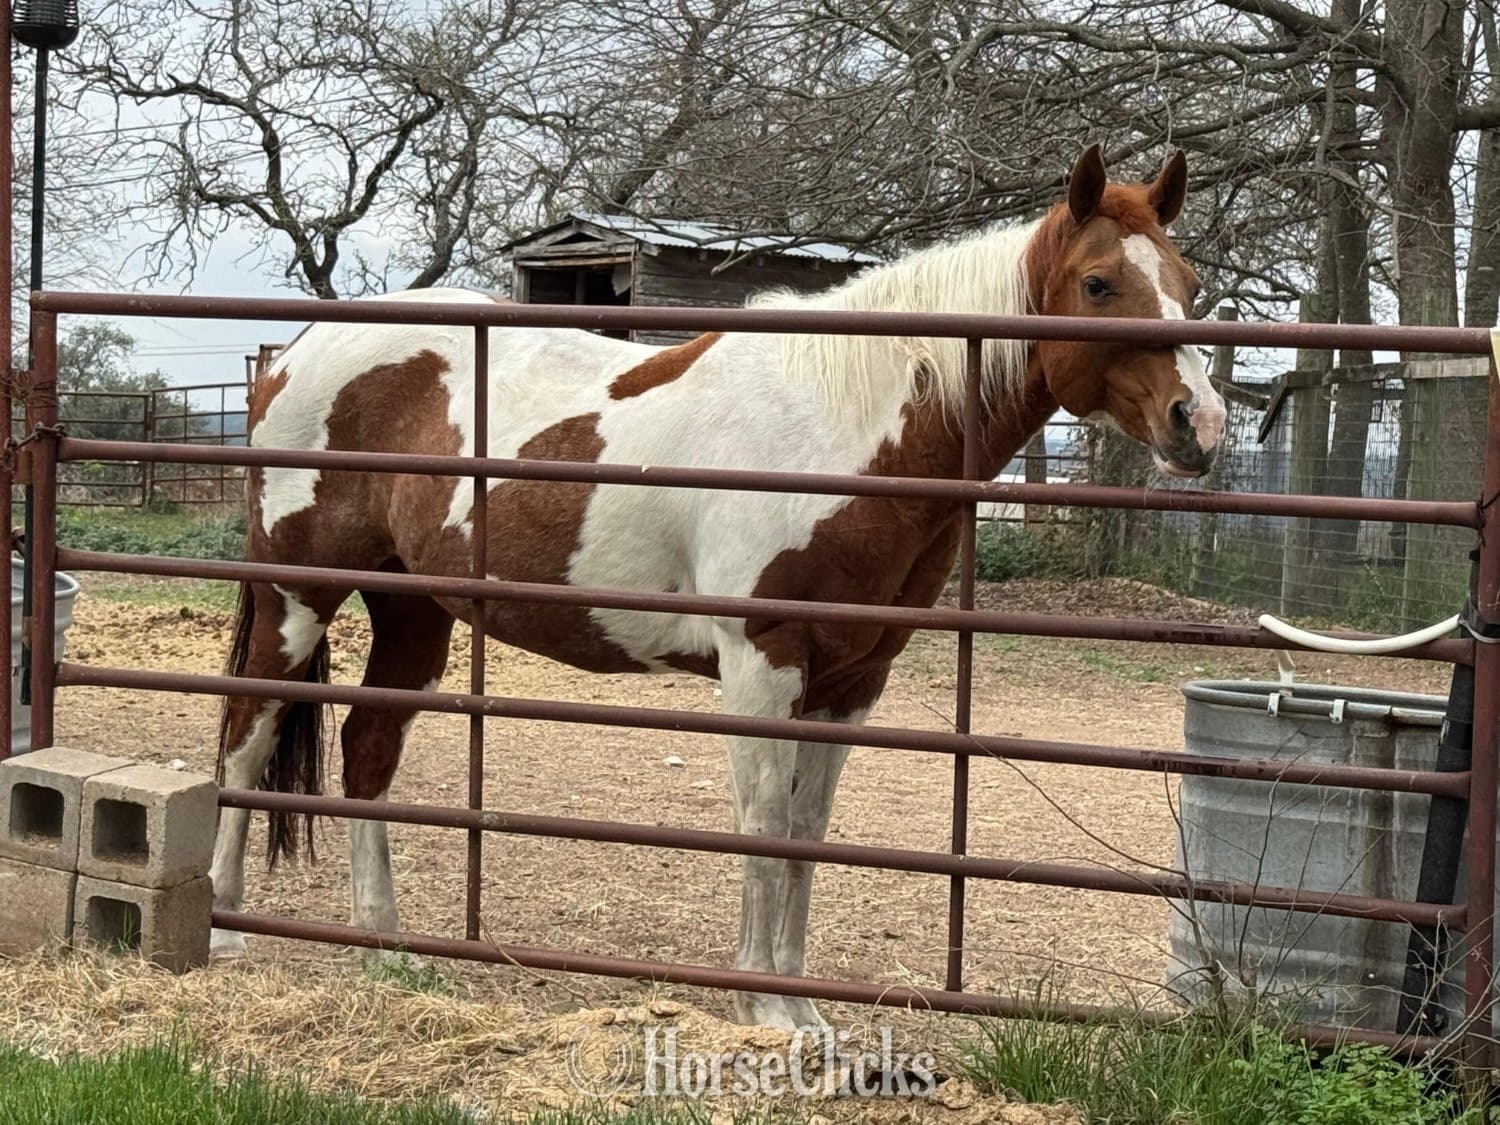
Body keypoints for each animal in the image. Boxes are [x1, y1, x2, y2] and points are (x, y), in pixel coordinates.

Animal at [209, 144, 1226, 1031]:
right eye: (1099, 283)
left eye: (1187, 280)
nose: (1200, 424)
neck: (841, 431)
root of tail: (293, 357)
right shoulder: (761, 664)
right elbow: (762, 823)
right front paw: (761, 1003)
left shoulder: (853, 680)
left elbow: (807, 829)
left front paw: (802, 1008)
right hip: (297, 598)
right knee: (245, 734)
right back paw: (219, 924)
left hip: (412, 609)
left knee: (366, 750)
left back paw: (385, 944)